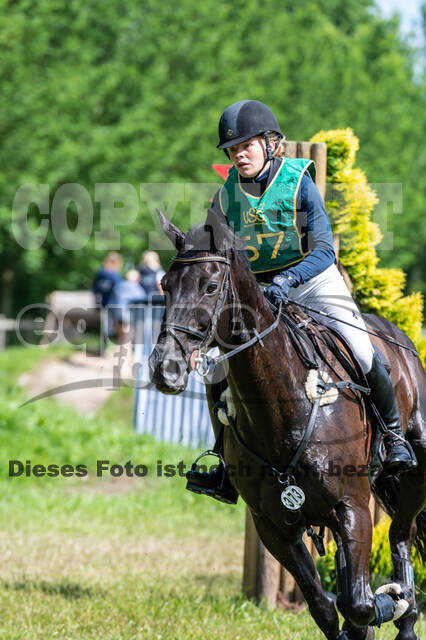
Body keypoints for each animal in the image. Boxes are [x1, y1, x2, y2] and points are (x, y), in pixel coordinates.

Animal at [149, 209, 426, 640]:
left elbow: (360, 605)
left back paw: (406, 610)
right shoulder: (274, 526)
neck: (285, 406)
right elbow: (326, 607)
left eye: (210, 286)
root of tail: (399, 336)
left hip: (414, 472)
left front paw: (389, 602)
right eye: (165, 285)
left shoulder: (353, 508)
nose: (166, 369)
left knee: (401, 534)